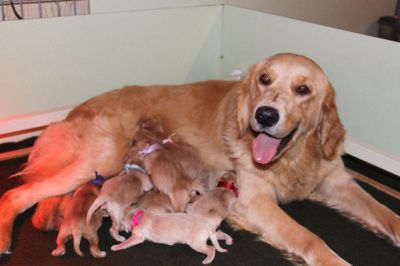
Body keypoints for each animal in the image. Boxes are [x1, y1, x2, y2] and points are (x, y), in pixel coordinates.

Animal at [0, 53, 400, 264]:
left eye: (303, 89)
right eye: (265, 79)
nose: (264, 115)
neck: (293, 157)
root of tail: (73, 110)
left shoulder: (337, 181)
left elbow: (387, 215)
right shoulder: (254, 200)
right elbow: (309, 237)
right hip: (100, 156)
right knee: (16, 193)